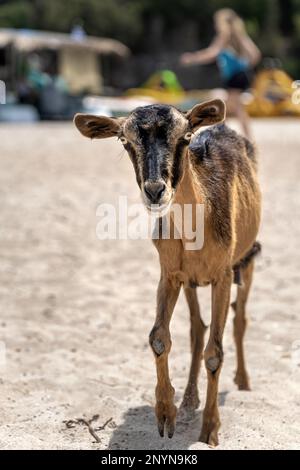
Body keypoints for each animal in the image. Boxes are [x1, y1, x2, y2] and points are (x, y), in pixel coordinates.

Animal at [74, 101, 260, 446]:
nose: (155, 190)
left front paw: (210, 430)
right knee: (197, 329)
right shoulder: (170, 273)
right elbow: (159, 337)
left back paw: (243, 383)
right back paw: (188, 400)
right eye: (124, 140)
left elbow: (215, 353)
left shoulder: (223, 275)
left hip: (247, 258)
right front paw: (165, 414)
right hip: (191, 282)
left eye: (186, 136)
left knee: (240, 319)